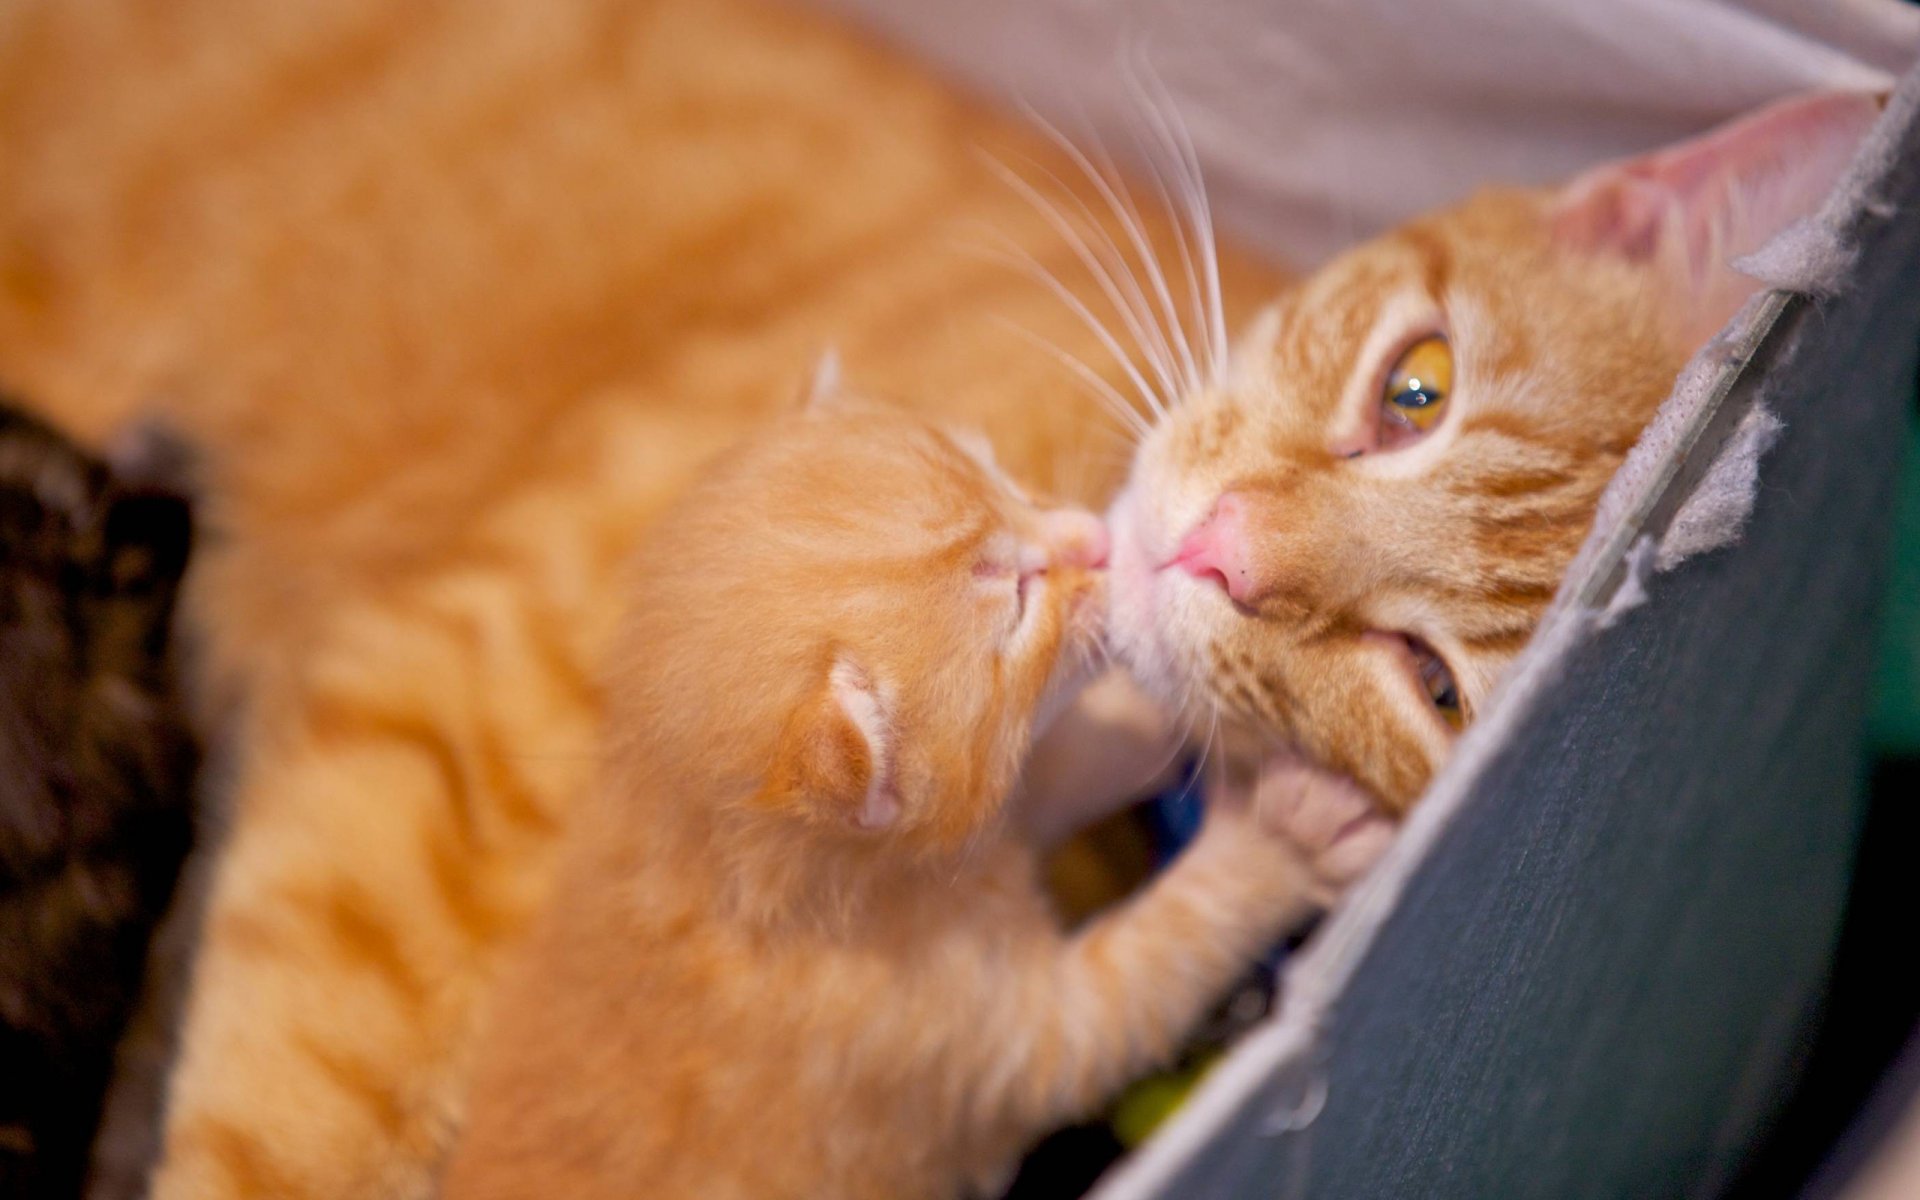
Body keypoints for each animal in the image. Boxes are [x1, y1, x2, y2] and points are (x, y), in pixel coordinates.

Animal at [435, 399, 1374, 1198]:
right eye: (1017, 598)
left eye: (1004, 476)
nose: (1097, 537)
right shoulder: (983, 1037)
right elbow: (1163, 953)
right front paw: (1283, 841)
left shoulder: (990, 816)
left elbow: (1060, 766)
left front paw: (1175, 685)